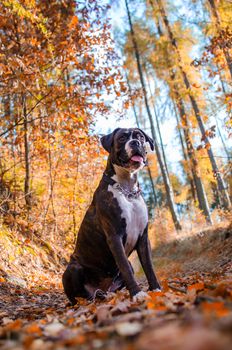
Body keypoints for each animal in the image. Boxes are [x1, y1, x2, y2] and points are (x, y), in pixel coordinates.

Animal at [62, 128, 160, 304]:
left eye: (140, 137)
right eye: (121, 138)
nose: (135, 142)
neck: (127, 189)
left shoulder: (143, 238)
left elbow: (149, 266)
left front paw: (156, 289)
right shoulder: (115, 237)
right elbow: (125, 267)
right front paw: (137, 294)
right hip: (73, 268)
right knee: (79, 297)